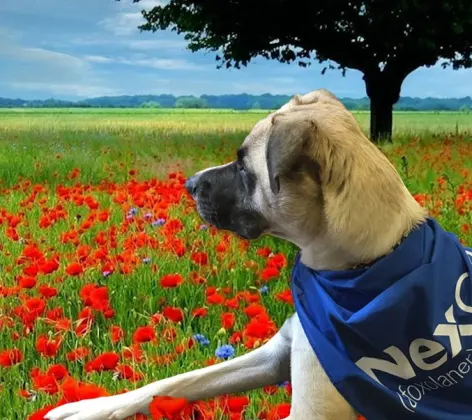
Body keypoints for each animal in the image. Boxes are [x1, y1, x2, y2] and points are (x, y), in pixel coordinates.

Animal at [47, 89, 472, 420]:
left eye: (242, 166)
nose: (188, 183)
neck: (366, 265)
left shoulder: (311, 407)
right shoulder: (279, 351)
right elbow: (177, 380)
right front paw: (90, 406)